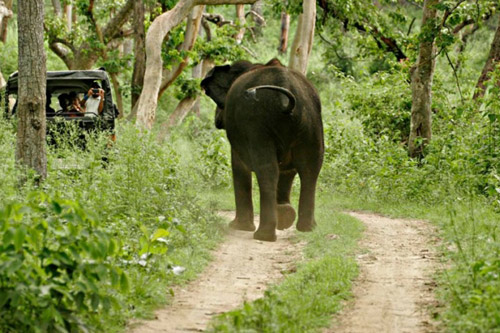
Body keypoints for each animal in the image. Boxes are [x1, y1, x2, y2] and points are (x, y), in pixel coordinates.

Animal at [202, 59, 324, 241]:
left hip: (258, 124)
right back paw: (306, 228)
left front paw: (238, 227)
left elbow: (239, 165)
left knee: (267, 170)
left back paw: (263, 235)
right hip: (311, 122)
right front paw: (284, 214)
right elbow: (288, 169)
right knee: (310, 168)